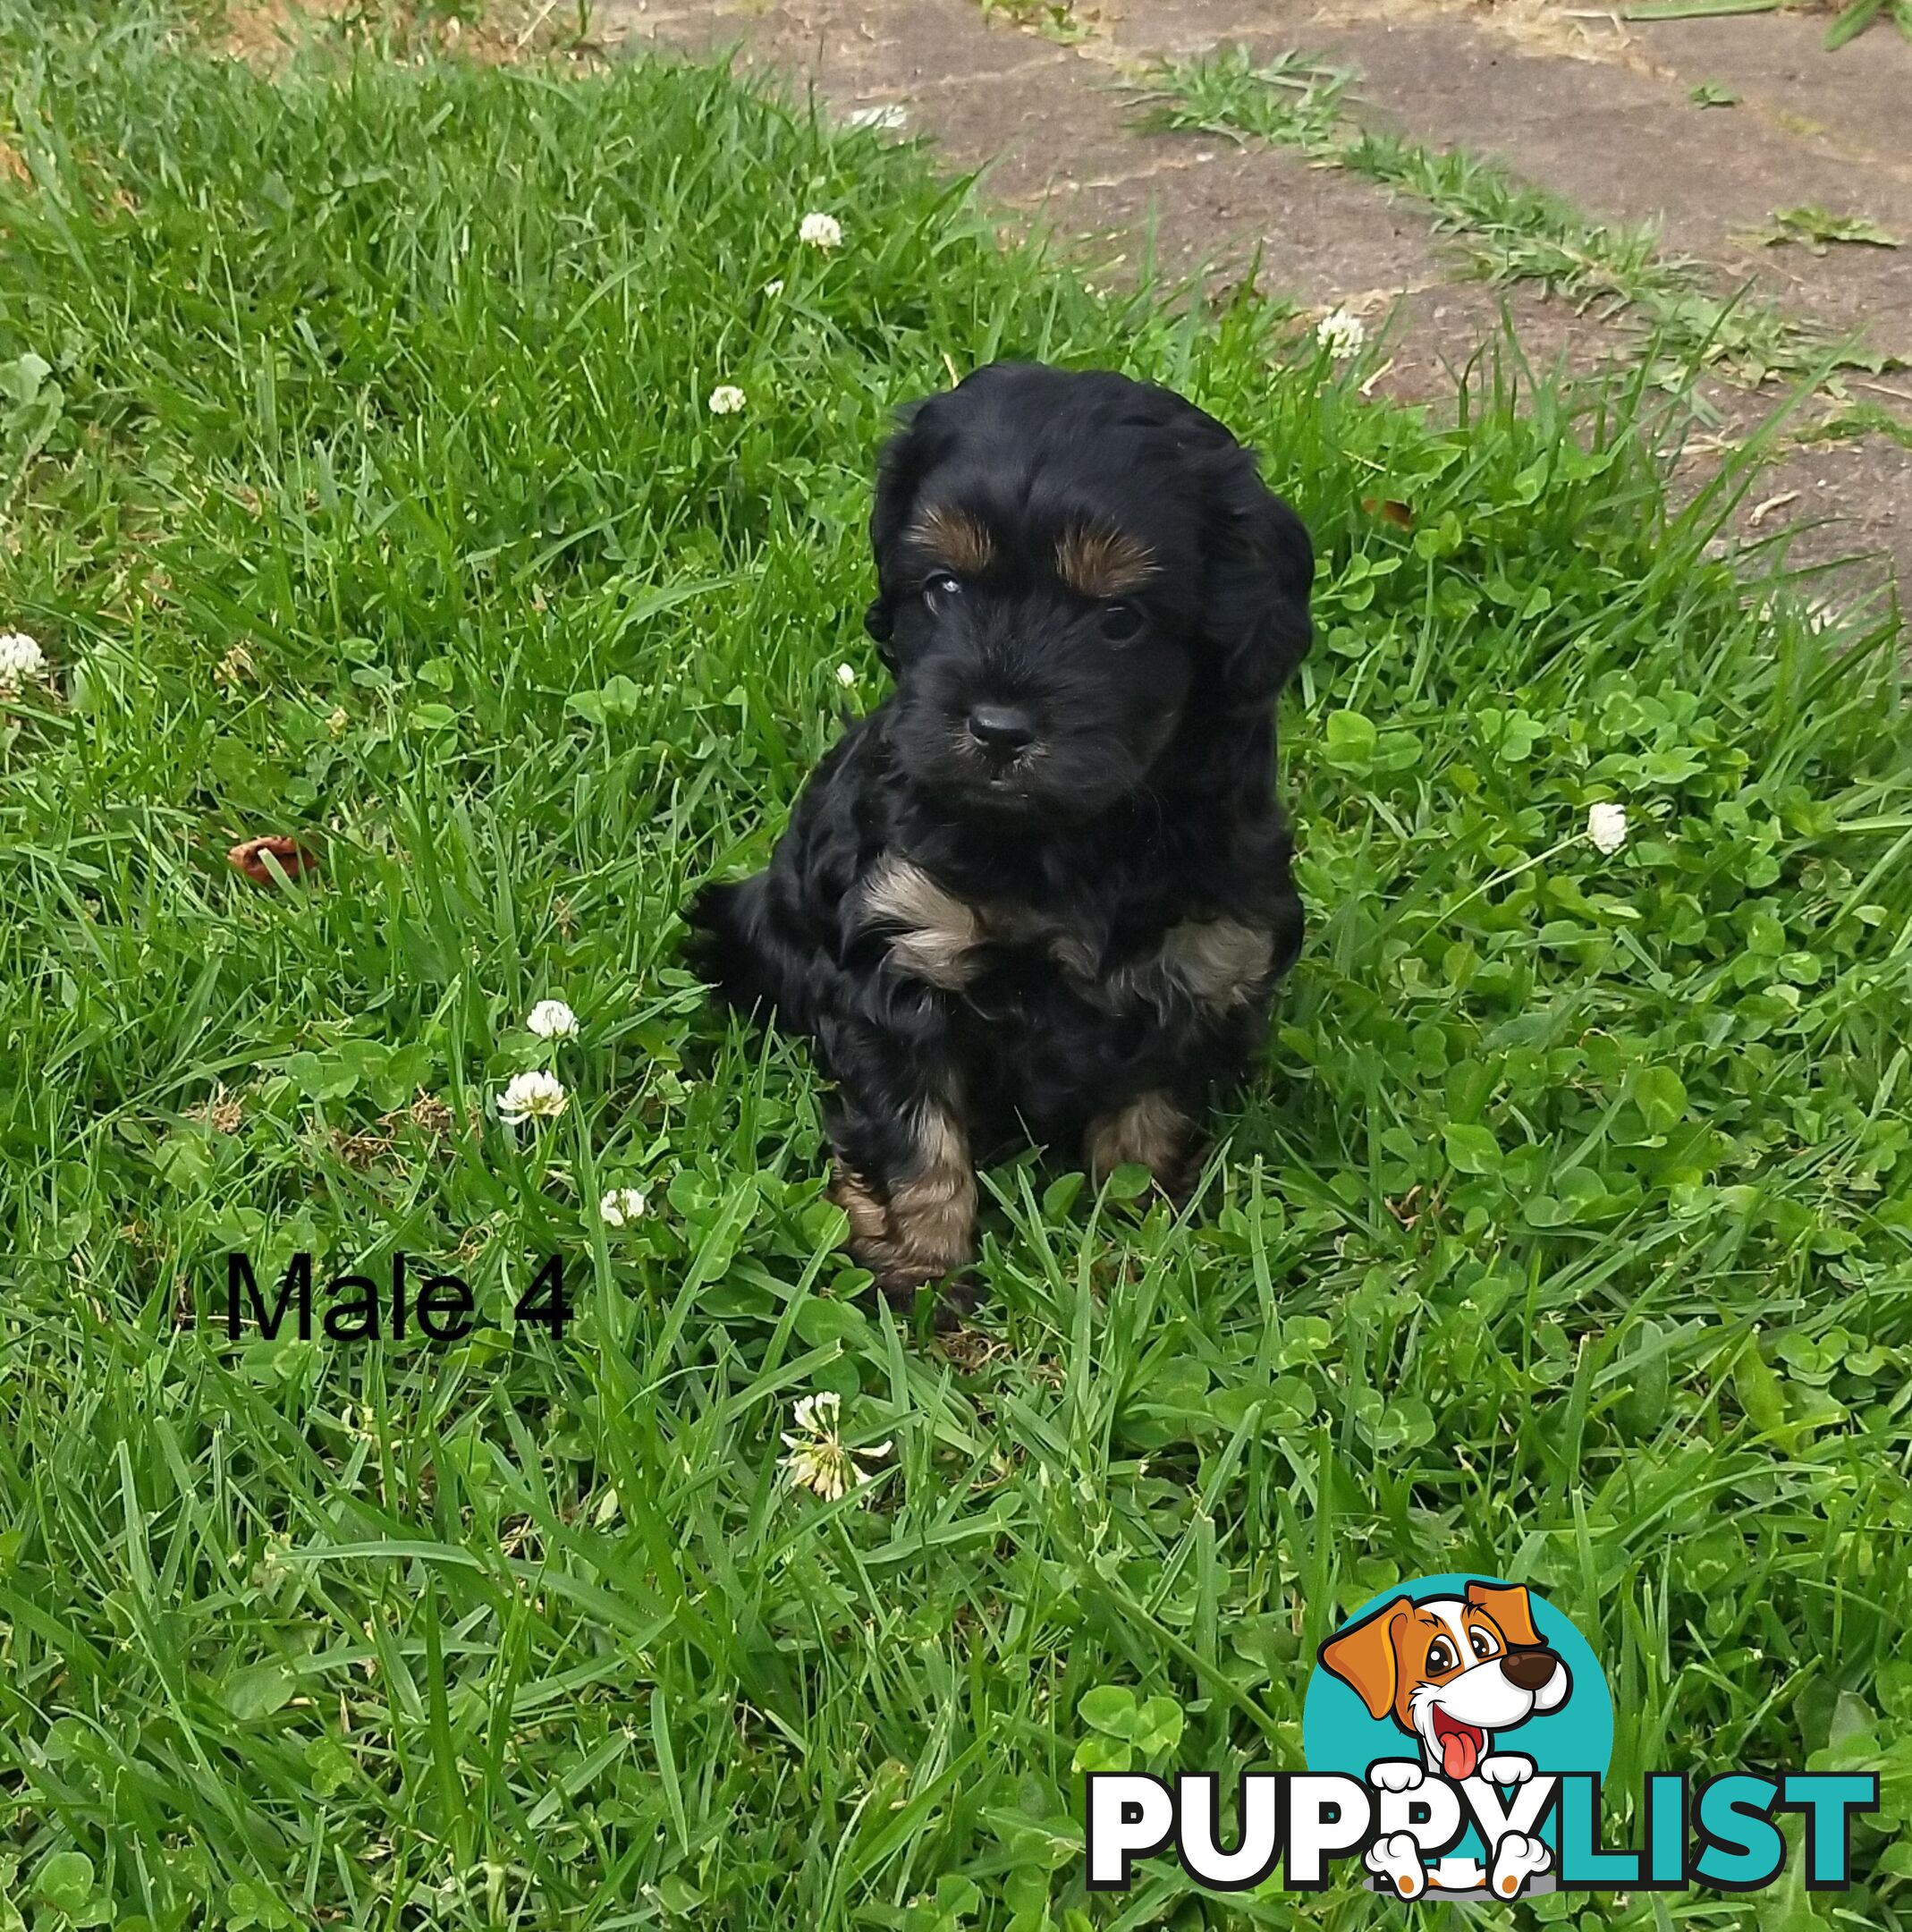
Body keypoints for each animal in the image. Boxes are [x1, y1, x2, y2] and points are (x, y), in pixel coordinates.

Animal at [687, 359, 1313, 1298]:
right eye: (944, 588)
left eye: (1119, 620)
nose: (997, 728)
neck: (1071, 841)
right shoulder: (901, 951)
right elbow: (914, 1130)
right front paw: (918, 1268)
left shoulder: (1205, 962)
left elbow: (1150, 1116)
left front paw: (1133, 1239)